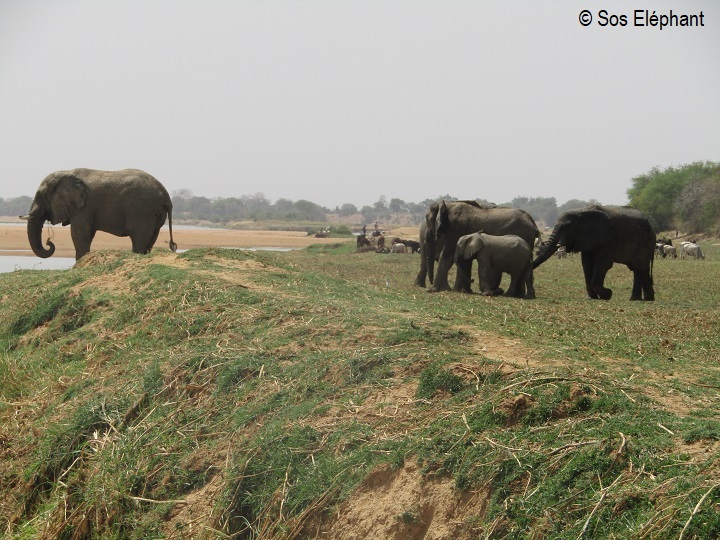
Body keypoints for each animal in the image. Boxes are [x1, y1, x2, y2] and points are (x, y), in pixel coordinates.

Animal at [23, 169, 178, 262]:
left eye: (40, 196)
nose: (49, 241)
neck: (68, 173)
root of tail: (166, 197)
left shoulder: (84, 207)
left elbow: (80, 234)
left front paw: (78, 265)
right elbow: (86, 234)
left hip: (143, 211)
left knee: (139, 240)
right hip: (155, 214)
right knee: (150, 240)